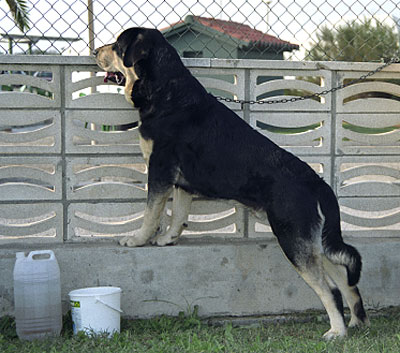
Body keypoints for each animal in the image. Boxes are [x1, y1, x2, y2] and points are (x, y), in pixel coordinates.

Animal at [94, 28, 368, 338]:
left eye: (117, 46)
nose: (94, 52)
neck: (166, 92)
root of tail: (318, 184)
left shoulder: (160, 170)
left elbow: (151, 214)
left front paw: (138, 239)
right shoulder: (181, 183)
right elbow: (178, 216)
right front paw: (168, 239)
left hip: (293, 239)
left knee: (330, 290)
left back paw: (338, 331)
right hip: (315, 242)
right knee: (347, 281)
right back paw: (356, 322)